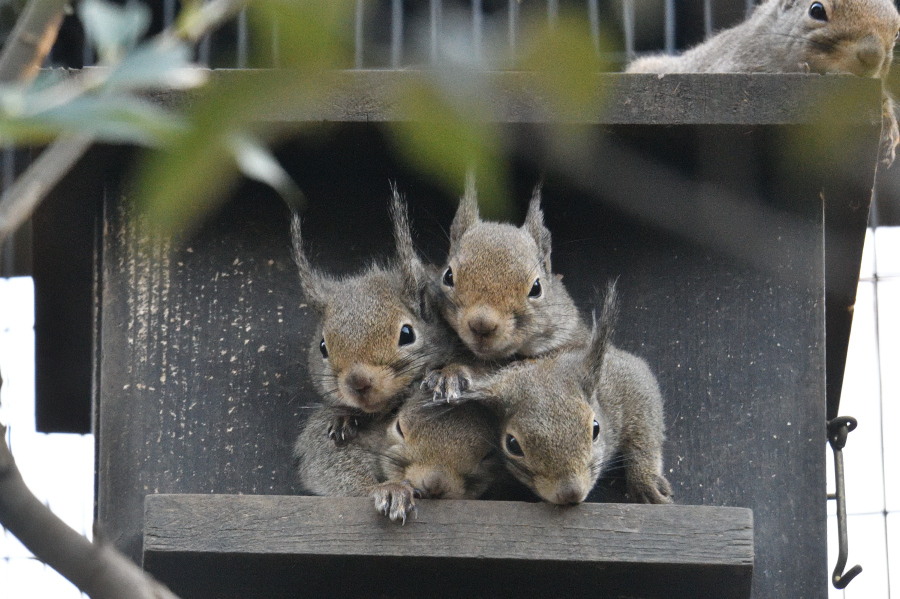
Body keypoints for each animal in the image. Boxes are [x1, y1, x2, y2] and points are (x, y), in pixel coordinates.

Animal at [460, 284, 672, 506]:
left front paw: (646, 481)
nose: (570, 493)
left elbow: (645, 429)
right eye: (512, 445)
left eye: (596, 428)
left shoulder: (625, 380)